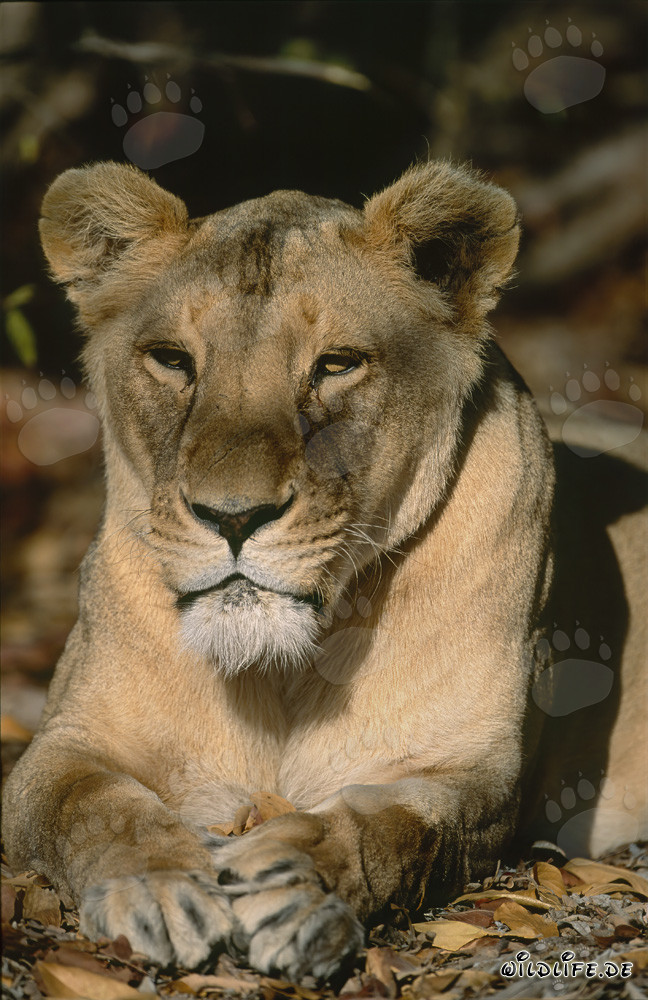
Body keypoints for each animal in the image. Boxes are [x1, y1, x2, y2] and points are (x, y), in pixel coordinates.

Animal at [3, 160, 646, 979]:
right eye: (173, 361)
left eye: (336, 365)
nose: (232, 516)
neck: (279, 675)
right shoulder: (63, 744)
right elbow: (92, 807)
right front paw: (157, 889)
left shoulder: (471, 772)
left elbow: (389, 827)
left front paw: (290, 883)